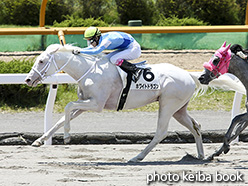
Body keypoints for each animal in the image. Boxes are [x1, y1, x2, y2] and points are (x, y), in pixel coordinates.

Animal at [24, 43, 238, 163]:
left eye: (41, 61)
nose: (28, 79)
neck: (89, 70)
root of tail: (188, 74)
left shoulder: (96, 104)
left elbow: (68, 107)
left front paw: (67, 137)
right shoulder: (85, 103)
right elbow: (62, 118)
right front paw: (39, 140)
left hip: (168, 105)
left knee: (161, 132)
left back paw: (137, 157)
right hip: (179, 110)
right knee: (195, 126)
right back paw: (201, 155)